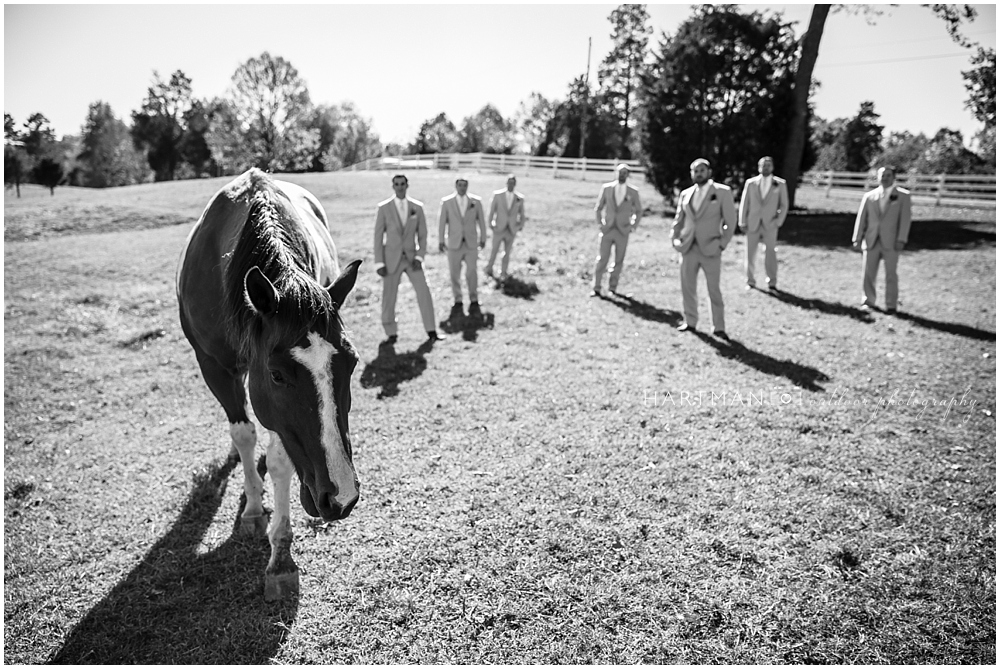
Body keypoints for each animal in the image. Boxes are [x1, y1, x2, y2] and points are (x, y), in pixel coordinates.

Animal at [178, 168, 362, 600]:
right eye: (277, 374)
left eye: (353, 363)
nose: (342, 496)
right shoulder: (214, 365)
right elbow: (244, 433)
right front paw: (252, 510)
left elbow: (279, 461)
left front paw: (280, 557)